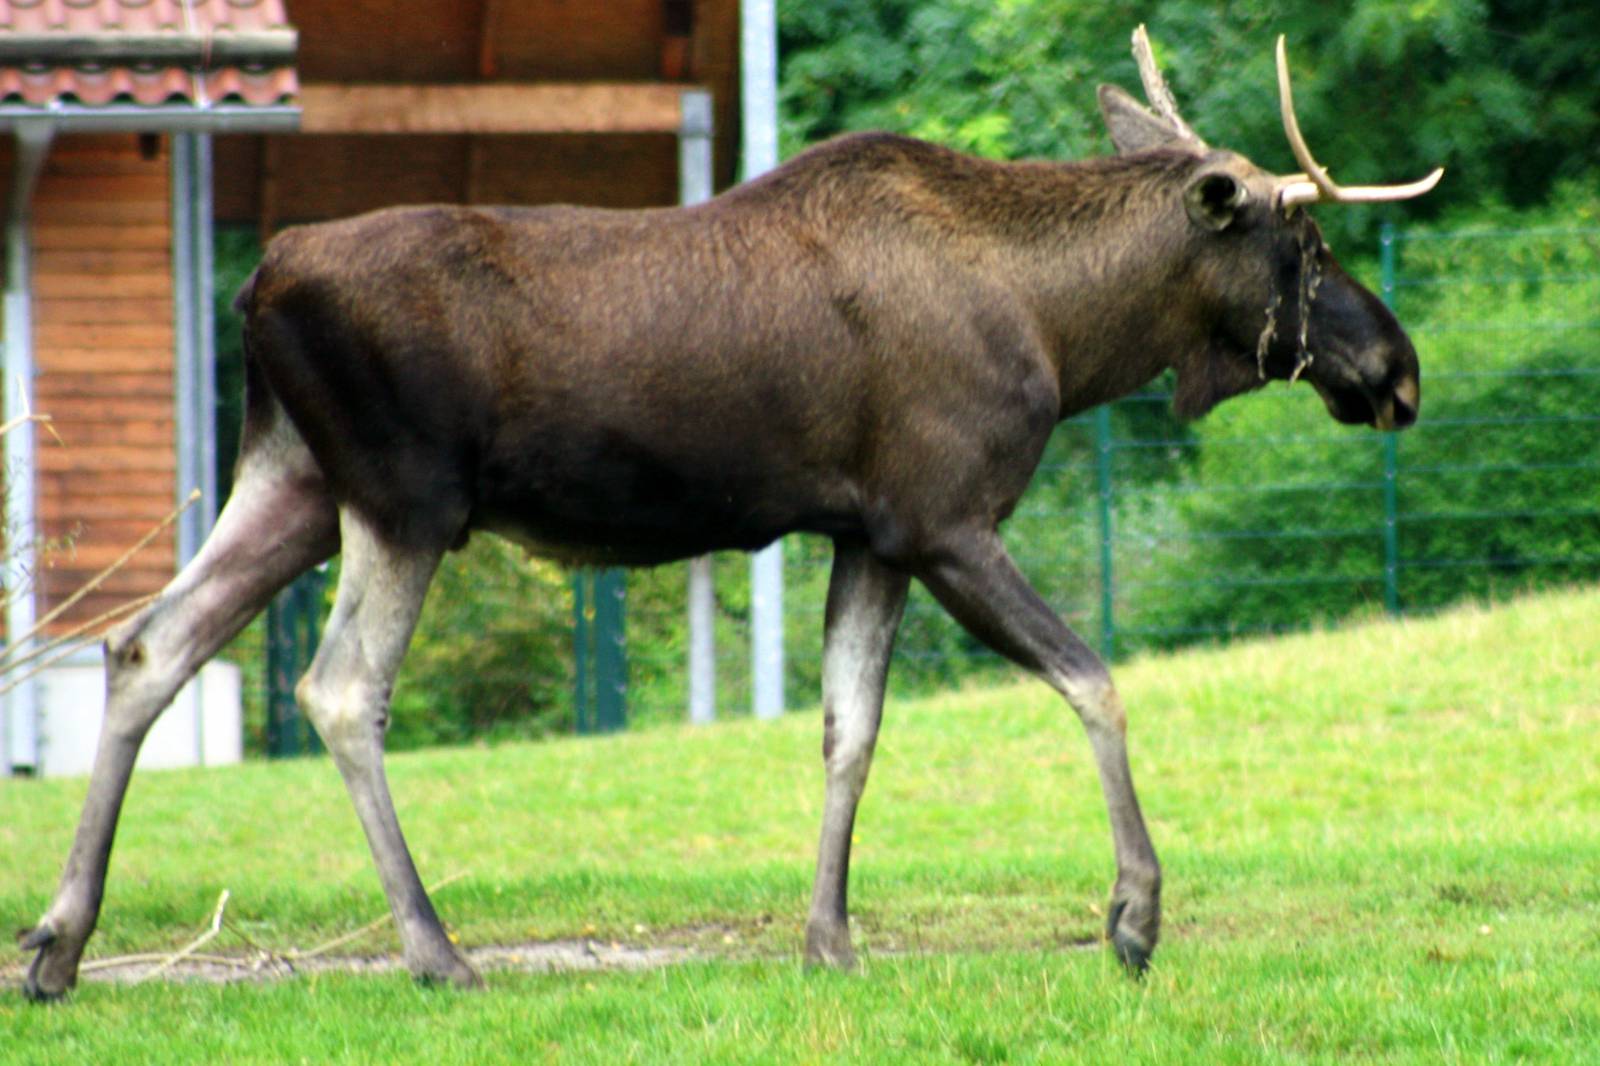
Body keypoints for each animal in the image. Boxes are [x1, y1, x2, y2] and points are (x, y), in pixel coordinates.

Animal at [18, 29, 1441, 999]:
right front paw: (1133, 915)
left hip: (295, 481)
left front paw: (829, 936)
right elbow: (1094, 678)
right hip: (405, 494)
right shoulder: (945, 515)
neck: (1064, 330)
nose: (1398, 369)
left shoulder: (869, 530)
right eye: (1307, 250)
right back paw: (434, 949)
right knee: (336, 686)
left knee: (146, 642)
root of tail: (256, 283)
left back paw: (57, 942)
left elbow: (849, 730)